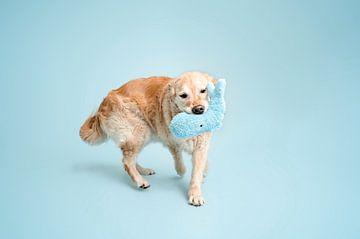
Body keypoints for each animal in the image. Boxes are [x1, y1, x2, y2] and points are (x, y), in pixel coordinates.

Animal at [80, 70, 215, 205]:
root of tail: (104, 102)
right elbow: (180, 159)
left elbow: (198, 167)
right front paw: (192, 189)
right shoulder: (170, 139)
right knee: (127, 162)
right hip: (140, 131)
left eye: (203, 90)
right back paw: (140, 181)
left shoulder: (200, 145)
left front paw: (201, 177)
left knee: (128, 159)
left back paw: (143, 171)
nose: (198, 109)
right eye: (183, 95)